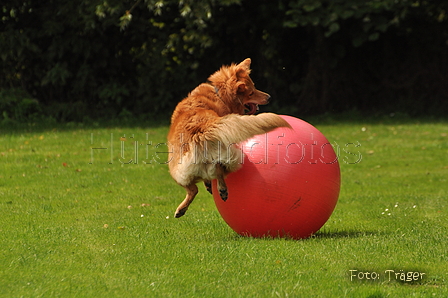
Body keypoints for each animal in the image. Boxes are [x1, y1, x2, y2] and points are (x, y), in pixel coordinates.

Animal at [167, 58, 290, 218]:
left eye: (254, 87)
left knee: (196, 187)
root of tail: (200, 129)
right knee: (212, 173)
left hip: (176, 170)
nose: (269, 97)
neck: (219, 94)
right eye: (251, 92)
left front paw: (209, 184)